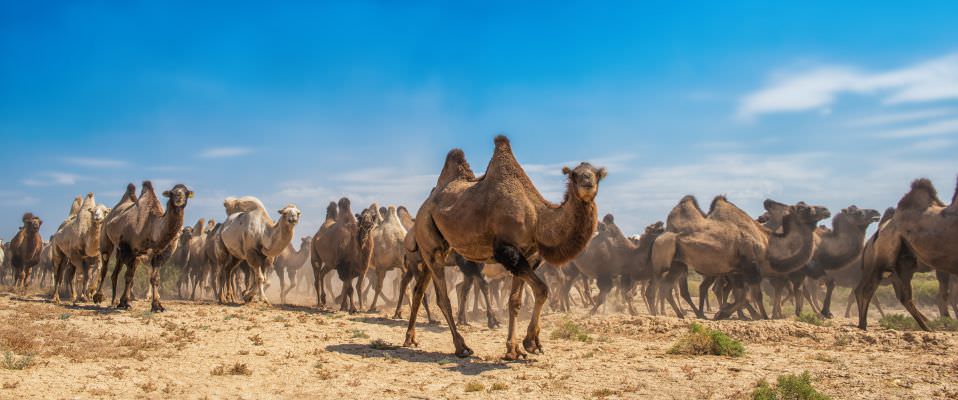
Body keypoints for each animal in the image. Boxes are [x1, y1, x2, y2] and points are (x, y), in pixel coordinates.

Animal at [93, 182, 194, 312]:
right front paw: (125, 303)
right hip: (107, 238)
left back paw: (114, 300)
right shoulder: (130, 249)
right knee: (105, 266)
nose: (179, 198)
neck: (151, 228)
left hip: (121, 251)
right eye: (172, 193)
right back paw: (99, 297)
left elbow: (154, 278)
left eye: (186, 192)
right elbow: (129, 276)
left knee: (115, 273)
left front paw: (157, 305)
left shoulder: (160, 255)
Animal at [406, 137, 608, 360]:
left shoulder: (528, 256)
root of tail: (423, 207)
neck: (536, 218)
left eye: (597, 174)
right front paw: (531, 343)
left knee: (419, 290)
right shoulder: (507, 251)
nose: (587, 182)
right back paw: (461, 346)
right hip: (429, 239)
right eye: (574, 174)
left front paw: (515, 348)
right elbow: (542, 289)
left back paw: (410, 338)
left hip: (433, 251)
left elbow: (515, 301)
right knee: (443, 298)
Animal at [652, 195, 832, 320]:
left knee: (667, 287)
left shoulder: (738, 271)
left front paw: (727, 312)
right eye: (803, 207)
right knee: (662, 287)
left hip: (678, 264)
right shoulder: (750, 266)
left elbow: (743, 295)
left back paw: (683, 314)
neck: (767, 242)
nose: (826, 210)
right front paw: (759, 316)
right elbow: (752, 295)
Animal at [856, 178, 958, 332]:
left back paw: (927, 327)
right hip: (882, 261)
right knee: (868, 289)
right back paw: (863, 325)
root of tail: (878, 233)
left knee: (904, 296)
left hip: (903, 265)